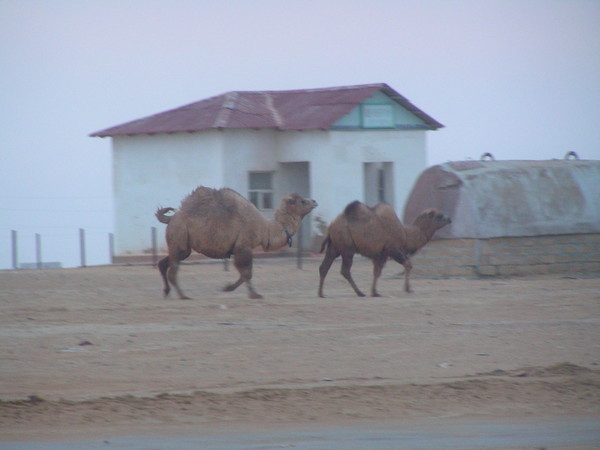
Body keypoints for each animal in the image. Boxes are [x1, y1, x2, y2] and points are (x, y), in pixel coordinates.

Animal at [156, 185, 318, 298]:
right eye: (303, 201)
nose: (315, 201)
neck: (265, 228)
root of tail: (171, 219)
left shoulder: (239, 249)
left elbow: (244, 273)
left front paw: (228, 288)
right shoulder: (243, 247)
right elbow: (247, 273)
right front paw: (254, 294)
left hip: (183, 246)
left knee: (164, 263)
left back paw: (166, 292)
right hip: (179, 236)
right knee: (173, 270)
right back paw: (183, 296)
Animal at [318, 202, 450, 298]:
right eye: (439, 215)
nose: (450, 219)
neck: (406, 234)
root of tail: (331, 226)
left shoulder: (382, 254)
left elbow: (377, 272)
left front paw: (375, 292)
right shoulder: (393, 249)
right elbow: (408, 264)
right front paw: (408, 289)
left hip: (334, 247)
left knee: (324, 267)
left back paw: (321, 293)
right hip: (347, 247)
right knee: (345, 270)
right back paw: (360, 293)